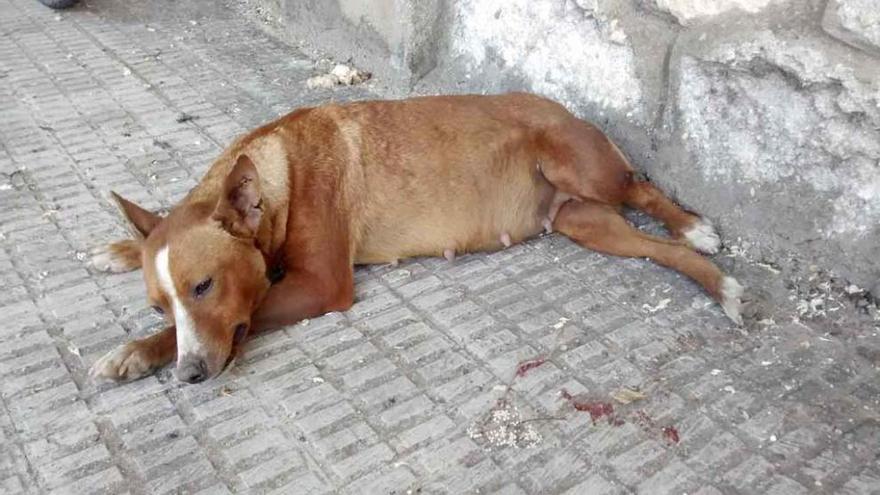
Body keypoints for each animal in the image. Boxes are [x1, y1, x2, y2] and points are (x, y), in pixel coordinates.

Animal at [89, 94, 744, 388]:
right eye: (159, 302)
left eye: (205, 286)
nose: (190, 375)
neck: (280, 175)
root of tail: (563, 105)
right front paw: (120, 253)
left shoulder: (321, 285)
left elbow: (250, 311)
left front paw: (140, 350)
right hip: (585, 224)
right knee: (660, 250)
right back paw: (721, 285)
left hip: (582, 170)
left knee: (642, 187)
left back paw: (696, 227)